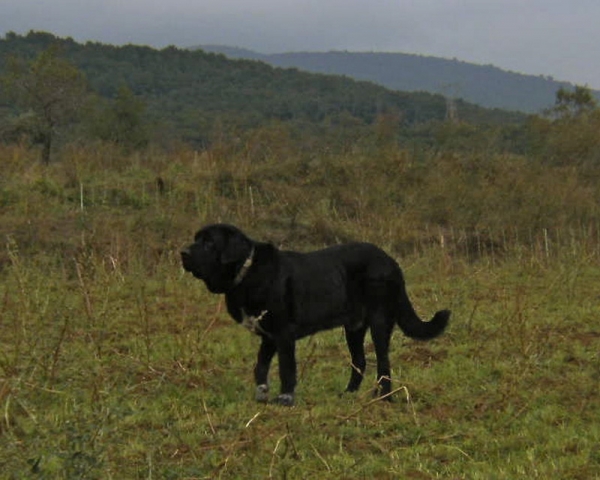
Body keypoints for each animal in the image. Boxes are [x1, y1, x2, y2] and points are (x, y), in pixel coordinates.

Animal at [180, 224, 448, 404]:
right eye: (196, 240)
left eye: (209, 243)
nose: (183, 253)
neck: (247, 272)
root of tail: (391, 262)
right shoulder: (269, 336)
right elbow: (260, 366)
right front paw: (261, 395)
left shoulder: (284, 334)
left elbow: (287, 368)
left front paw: (285, 399)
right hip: (354, 326)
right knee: (359, 361)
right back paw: (347, 394)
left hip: (379, 321)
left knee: (383, 362)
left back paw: (384, 398)